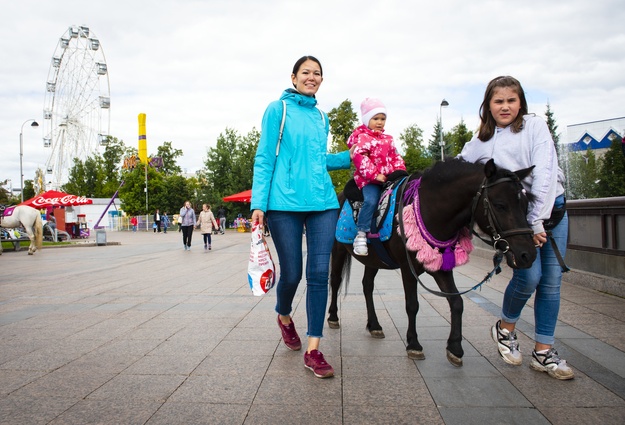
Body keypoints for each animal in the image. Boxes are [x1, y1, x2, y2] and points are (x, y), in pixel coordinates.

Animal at [326, 157, 536, 366]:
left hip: (374, 258)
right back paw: (333, 317)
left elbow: (457, 302)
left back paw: (374, 325)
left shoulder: (441, 266)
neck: (430, 210)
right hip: (337, 249)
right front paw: (413, 344)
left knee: (367, 285)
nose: (528, 255)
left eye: (527, 205)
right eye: (500, 205)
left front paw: (455, 347)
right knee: (335, 281)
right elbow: (412, 305)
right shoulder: (407, 268)